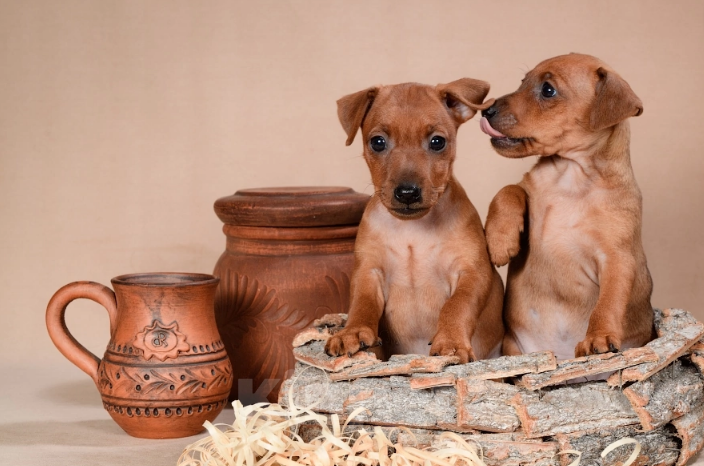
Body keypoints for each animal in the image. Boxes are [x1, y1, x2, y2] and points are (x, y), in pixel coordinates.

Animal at [328, 81, 504, 364]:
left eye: (437, 142)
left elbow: (457, 305)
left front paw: (451, 340)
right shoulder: (368, 272)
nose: (407, 193)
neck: (413, 231)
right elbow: (361, 303)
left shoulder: (472, 272)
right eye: (377, 142)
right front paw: (352, 331)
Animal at [478, 54, 656, 360]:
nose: (486, 110)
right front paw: (500, 240)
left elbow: (608, 302)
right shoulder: (528, 190)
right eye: (523, 82)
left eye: (548, 90)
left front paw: (598, 337)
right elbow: (508, 190)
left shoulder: (617, 259)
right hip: (512, 348)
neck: (570, 178)